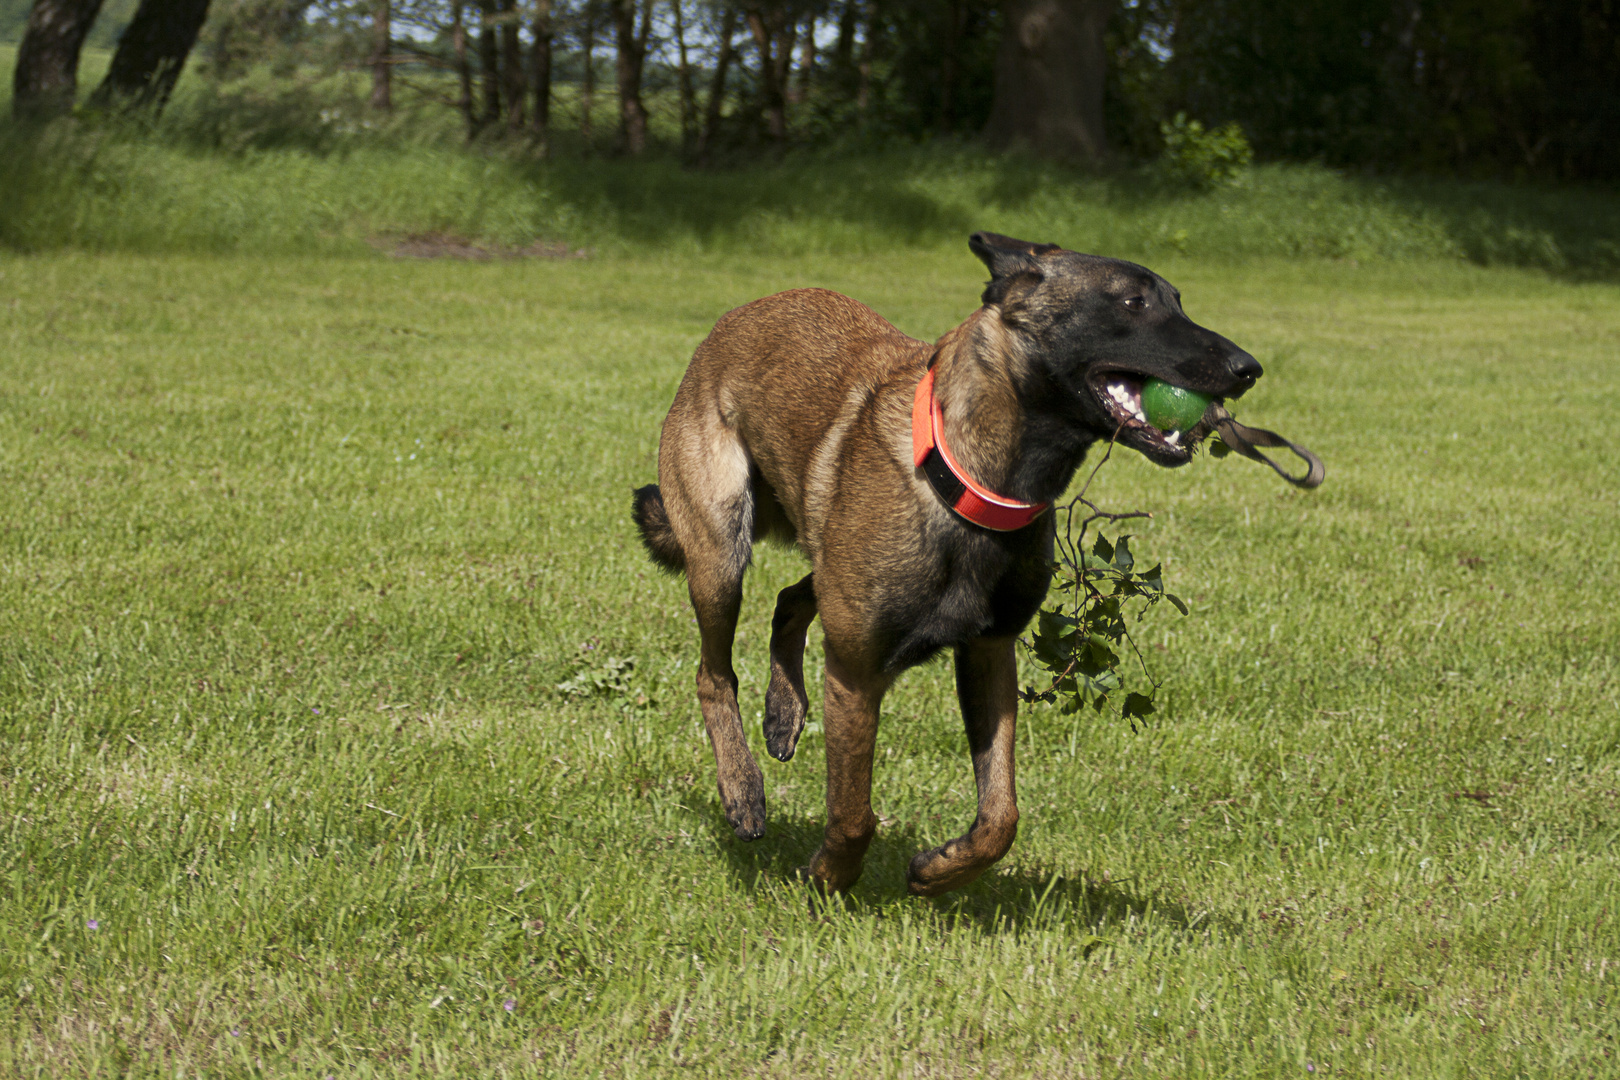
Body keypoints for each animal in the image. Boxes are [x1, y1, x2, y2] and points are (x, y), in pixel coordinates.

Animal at [631, 233, 1263, 900]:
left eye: (1177, 301)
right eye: (1132, 301)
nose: (1249, 368)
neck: (967, 478)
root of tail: (733, 320)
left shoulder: (989, 654)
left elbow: (1000, 818)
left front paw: (937, 871)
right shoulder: (854, 675)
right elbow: (854, 812)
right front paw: (829, 877)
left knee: (790, 599)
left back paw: (784, 712)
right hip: (720, 549)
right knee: (713, 673)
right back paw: (742, 791)